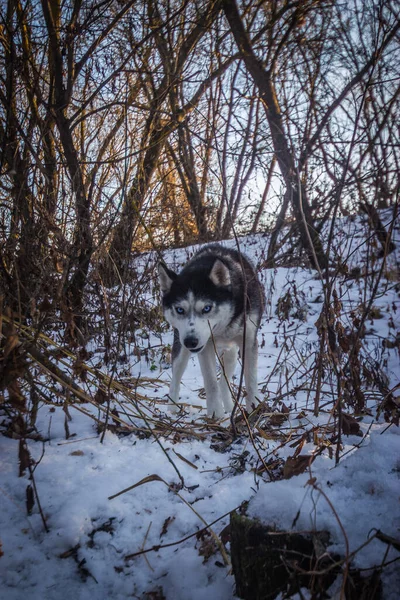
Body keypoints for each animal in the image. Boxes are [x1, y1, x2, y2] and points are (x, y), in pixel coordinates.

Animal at [158, 244, 264, 418]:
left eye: (207, 308)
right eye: (180, 309)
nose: (191, 341)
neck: (223, 328)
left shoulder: (248, 341)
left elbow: (250, 380)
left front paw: (254, 408)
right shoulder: (205, 347)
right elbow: (211, 382)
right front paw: (215, 415)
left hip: (231, 352)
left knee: (225, 381)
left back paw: (229, 406)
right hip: (180, 344)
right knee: (176, 376)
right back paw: (172, 408)